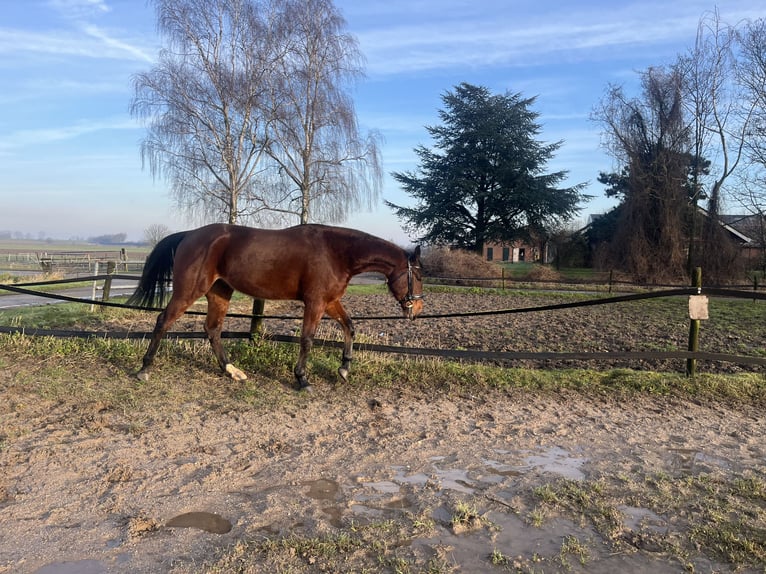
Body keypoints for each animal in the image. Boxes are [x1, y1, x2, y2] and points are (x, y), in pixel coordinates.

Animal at [127, 224, 426, 392]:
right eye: (420, 275)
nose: (417, 309)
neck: (337, 253)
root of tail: (189, 235)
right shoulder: (315, 303)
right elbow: (307, 340)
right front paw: (302, 380)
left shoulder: (329, 301)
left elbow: (349, 327)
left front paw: (344, 369)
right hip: (189, 291)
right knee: (164, 321)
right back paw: (144, 369)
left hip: (220, 292)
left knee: (212, 329)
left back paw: (232, 371)